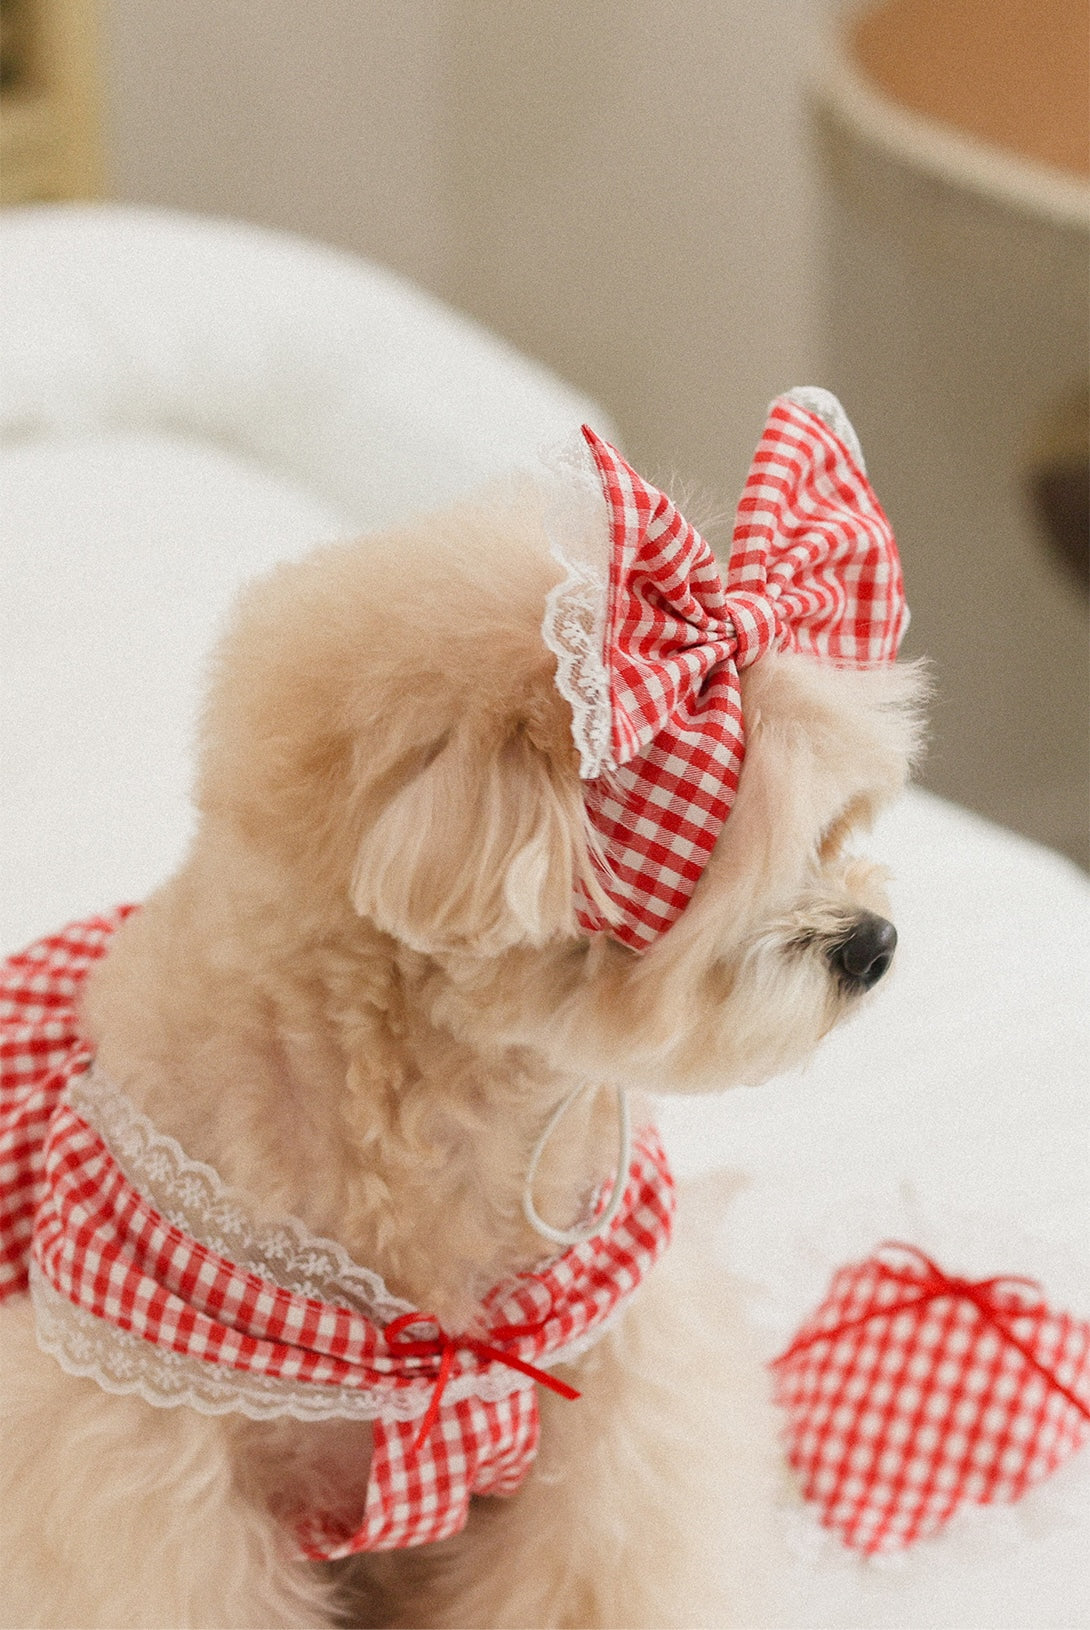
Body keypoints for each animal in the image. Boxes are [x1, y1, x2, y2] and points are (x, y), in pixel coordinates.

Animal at [0, 394, 925, 1630]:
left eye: (837, 829)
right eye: (734, 855)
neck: (443, 1111)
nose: (872, 945)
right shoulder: (143, 1460)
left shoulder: (612, 1412)